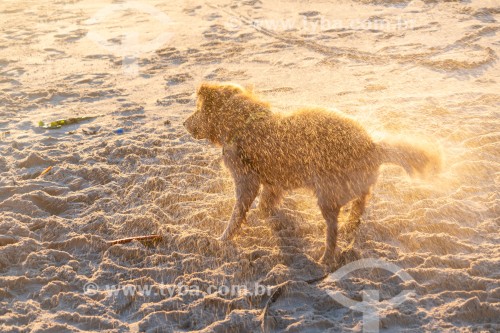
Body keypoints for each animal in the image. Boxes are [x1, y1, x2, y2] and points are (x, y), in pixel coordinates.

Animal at [185, 81, 442, 262]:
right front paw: (274, 220)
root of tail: (371, 146)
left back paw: (327, 256)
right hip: (351, 186)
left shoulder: (246, 182)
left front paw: (223, 238)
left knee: (333, 228)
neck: (243, 122)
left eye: (197, 109)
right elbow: (266, 205)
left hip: (326, 194)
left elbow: (237, 215)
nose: (184, 124)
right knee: (361, 202)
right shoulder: (273, 184)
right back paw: (351, 224)